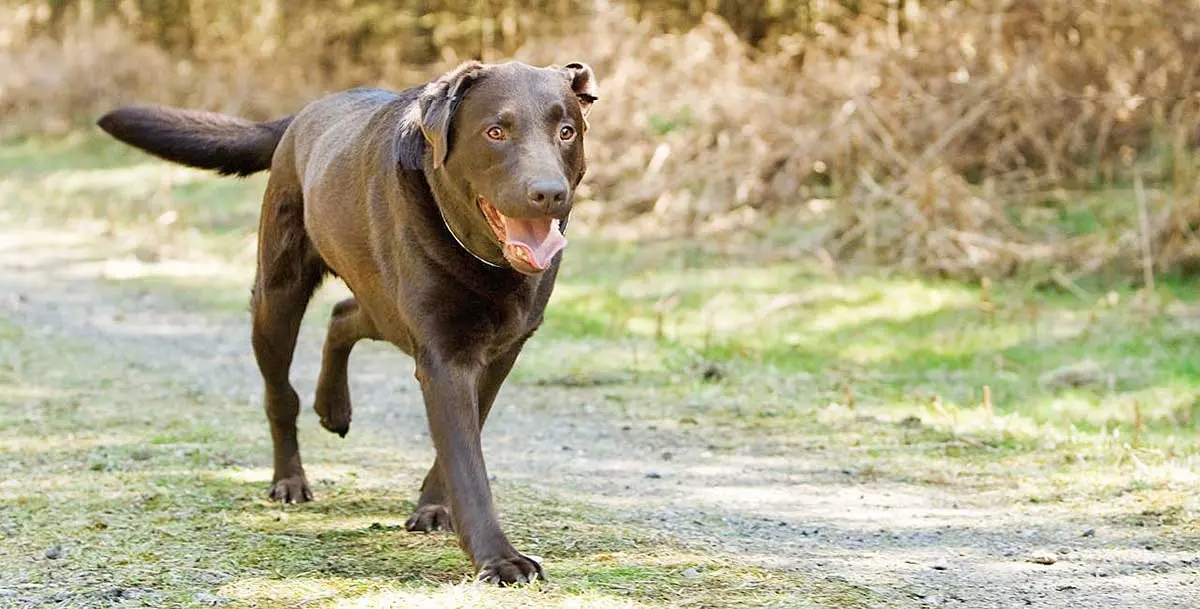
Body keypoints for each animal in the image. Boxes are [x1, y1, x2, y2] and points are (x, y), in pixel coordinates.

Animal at [96, 62, 597, 585]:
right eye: (495, 132)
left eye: (566, 132)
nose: (549, 193)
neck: (486, 261)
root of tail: (304, 113)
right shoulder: (443, 357)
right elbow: (467, 462)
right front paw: (498, 558)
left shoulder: (499, 353)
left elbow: (463, 439)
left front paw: (434, 507)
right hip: (278, 298)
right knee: (281, 395)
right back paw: (289, 478)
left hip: (382, 304)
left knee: (343, 317)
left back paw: (333, 407)